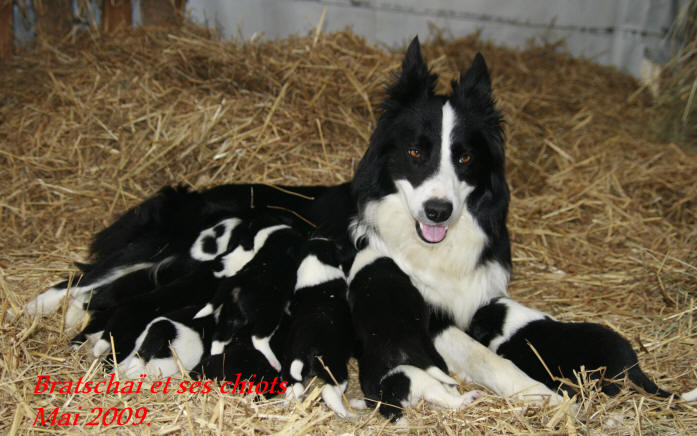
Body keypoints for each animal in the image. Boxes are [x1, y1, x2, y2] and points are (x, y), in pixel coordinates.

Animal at [282, 237, 354, 418]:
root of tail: (303, 349)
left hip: (289, 366)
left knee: (294, 389)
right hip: (333, 367)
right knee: (329, 392)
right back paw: (347, 414)